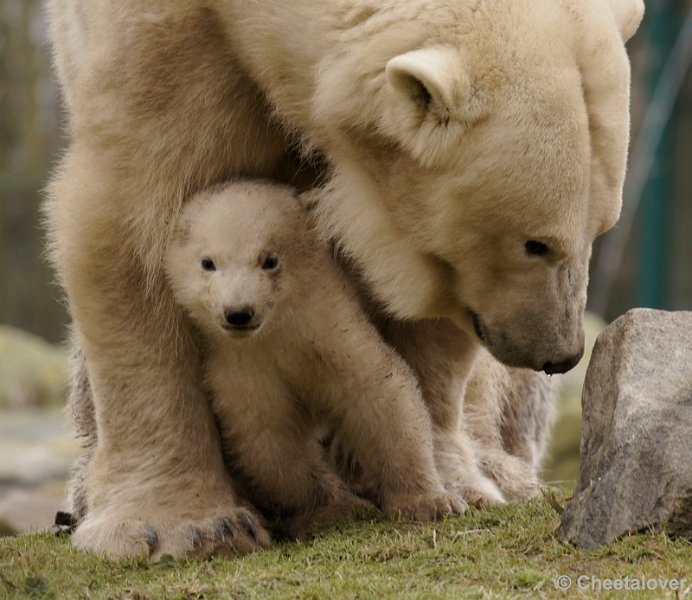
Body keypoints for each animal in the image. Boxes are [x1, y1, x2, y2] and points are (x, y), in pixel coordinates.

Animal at [47, 0, 644, 556]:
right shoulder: (156, 39)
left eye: (602, 227)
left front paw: (445, 480)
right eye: (535, 243)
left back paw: (500, 470)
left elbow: (424, 305)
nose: (560, 354)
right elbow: (134, 215)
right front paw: (191, 525)